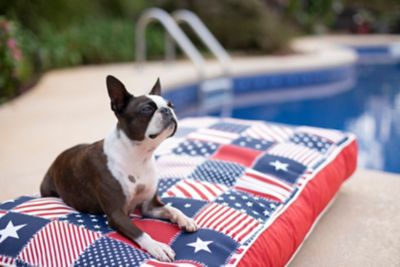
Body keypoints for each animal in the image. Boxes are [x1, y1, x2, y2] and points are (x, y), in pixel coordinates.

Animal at [39, 75, 197, 262]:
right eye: (147, 109)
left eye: (171, 104)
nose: (167, 110)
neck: (139, 157)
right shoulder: (116, 214)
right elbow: (139, 232)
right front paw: (157, 246)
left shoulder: (149, 207)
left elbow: (172, 208)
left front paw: (185, 219)